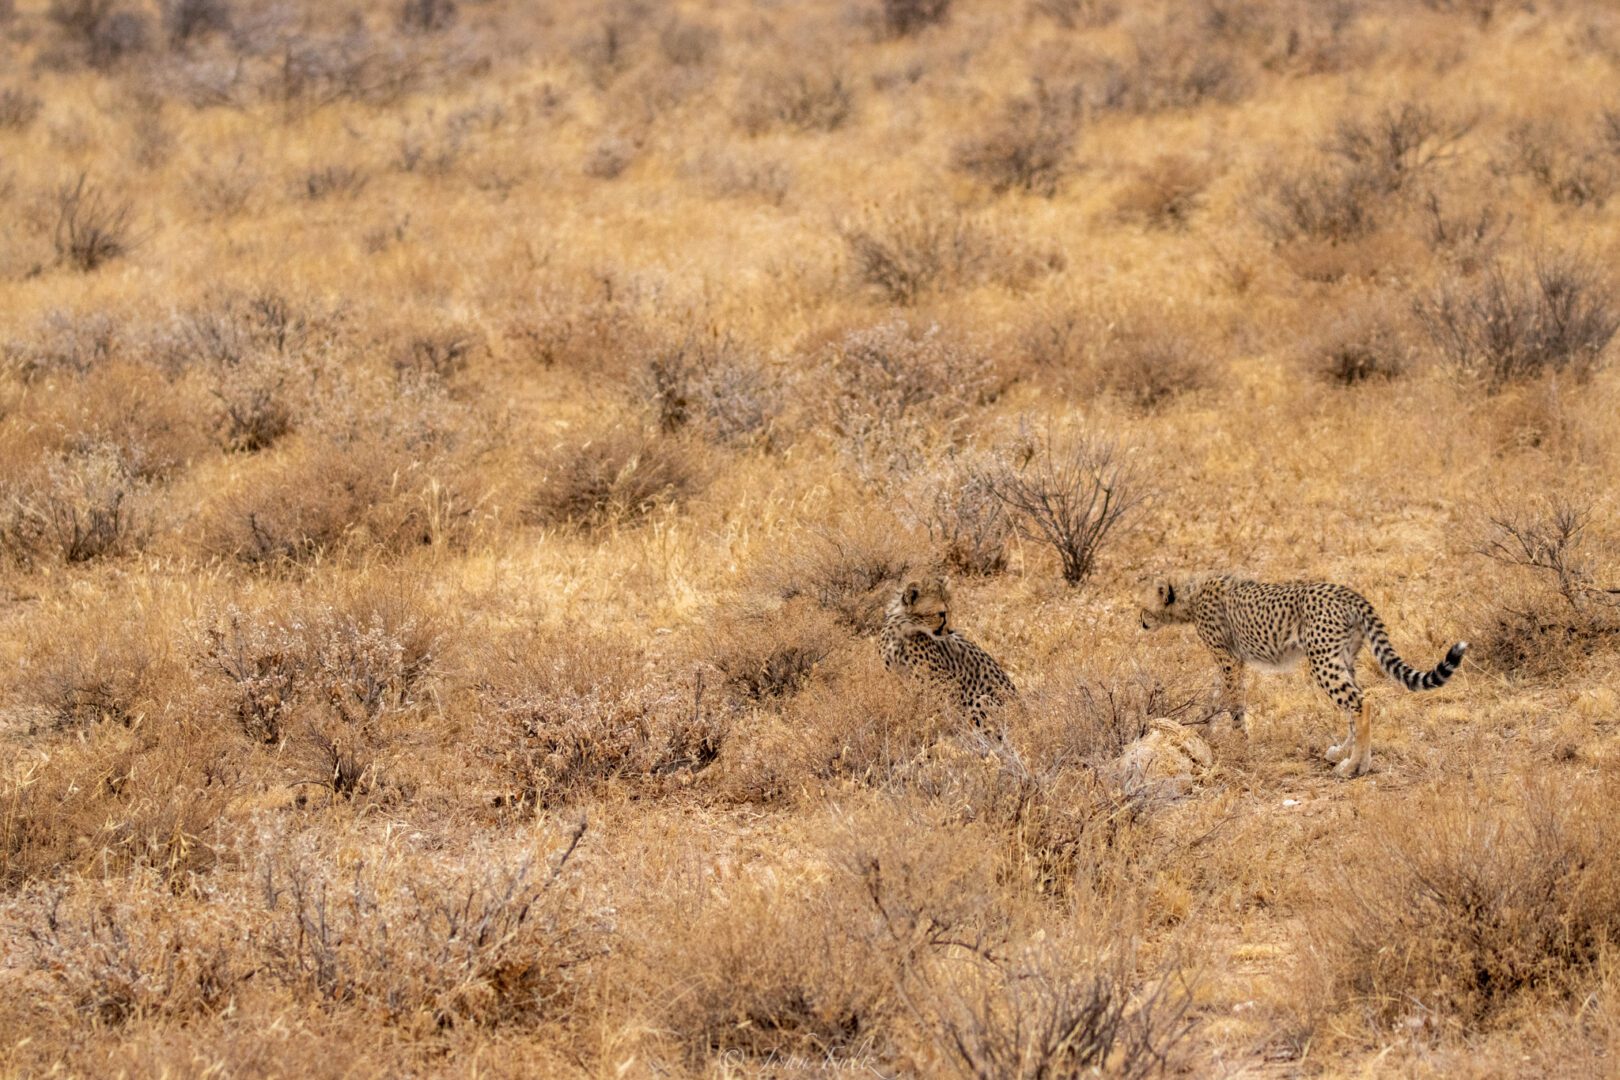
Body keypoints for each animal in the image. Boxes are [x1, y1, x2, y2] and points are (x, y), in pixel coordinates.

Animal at [887, 573, 1010, 725]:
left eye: (950, 611)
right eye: (941, 613)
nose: (951, 630)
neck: (902, 630)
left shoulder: (944, 684)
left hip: (983, 699)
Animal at [1140, 573, 1470, 777]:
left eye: (1144, 608)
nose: (1140, 621)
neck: (1191, 597)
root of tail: (1350, 593)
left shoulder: (1230, 660)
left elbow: (1234, 704)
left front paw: (1239, 742)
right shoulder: (1229, 662)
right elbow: (1214, 696)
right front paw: (1201, 731)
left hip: (1322, 661)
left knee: (1361, 703)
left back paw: (1352, 768)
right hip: (1343, 657)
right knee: (1356, 704)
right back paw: (1346, 755)